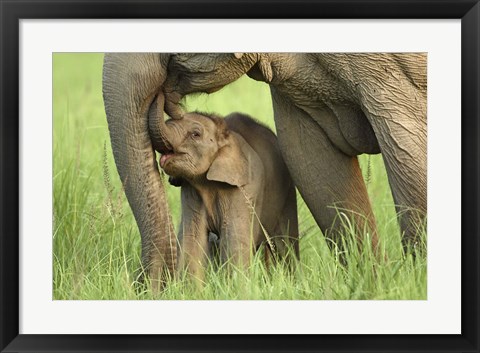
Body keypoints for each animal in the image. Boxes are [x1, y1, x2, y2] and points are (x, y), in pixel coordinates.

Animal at [153, 111, 296, 280]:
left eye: (195, 134)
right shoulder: (191, 191)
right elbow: (192, 237)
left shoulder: (243, 189)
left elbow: (234, 239)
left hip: (288, 192)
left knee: (286, 244)